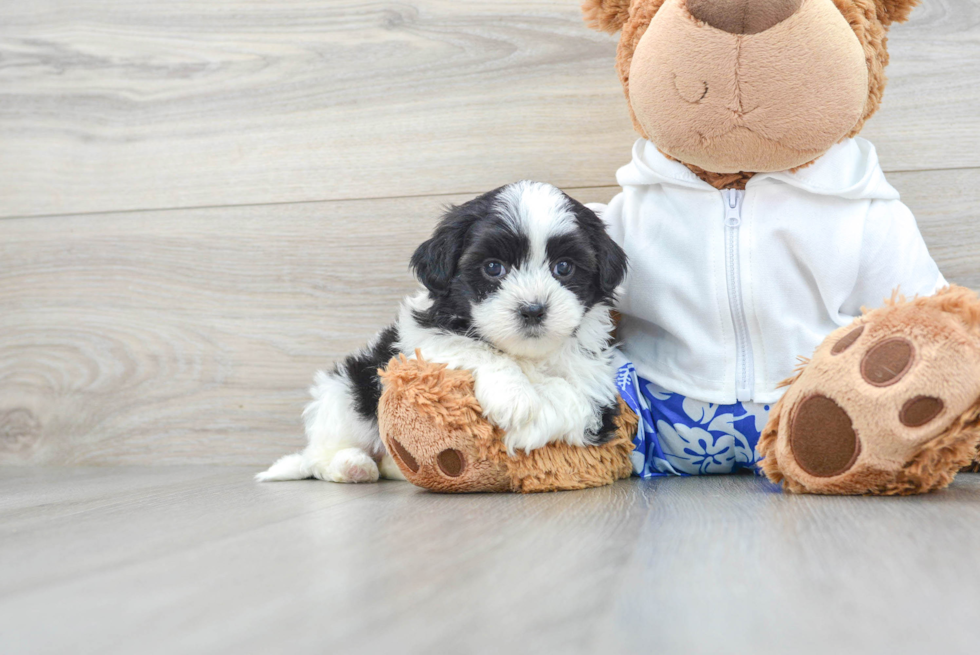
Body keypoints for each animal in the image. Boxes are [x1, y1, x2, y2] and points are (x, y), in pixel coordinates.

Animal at [258, 182, 628, 484]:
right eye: (493, 268)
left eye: (563, 267)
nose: (533, 309)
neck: (526, 354)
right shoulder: (421, 341)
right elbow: (473, 348)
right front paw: (514, 397)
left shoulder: (597, 388)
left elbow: (571, 397)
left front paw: (524, 426)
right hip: (346, 391)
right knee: (322, 453)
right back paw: (352, 466)